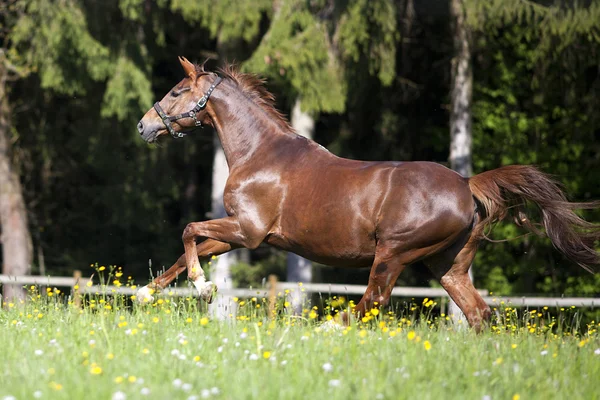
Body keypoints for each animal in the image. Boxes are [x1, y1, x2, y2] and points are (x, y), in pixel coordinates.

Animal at [137, 57, 600, 332]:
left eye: (177, 91)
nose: (144, 125)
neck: (260, 154)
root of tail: (466, 186)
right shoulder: (243, 234)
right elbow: (192, 247)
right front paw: (147, 292)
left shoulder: (247, 231)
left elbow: (188, 229)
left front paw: (203, 288)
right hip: (448, 265)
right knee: (478, 313)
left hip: (393, 253)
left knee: (374, 301)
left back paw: (326, 328)